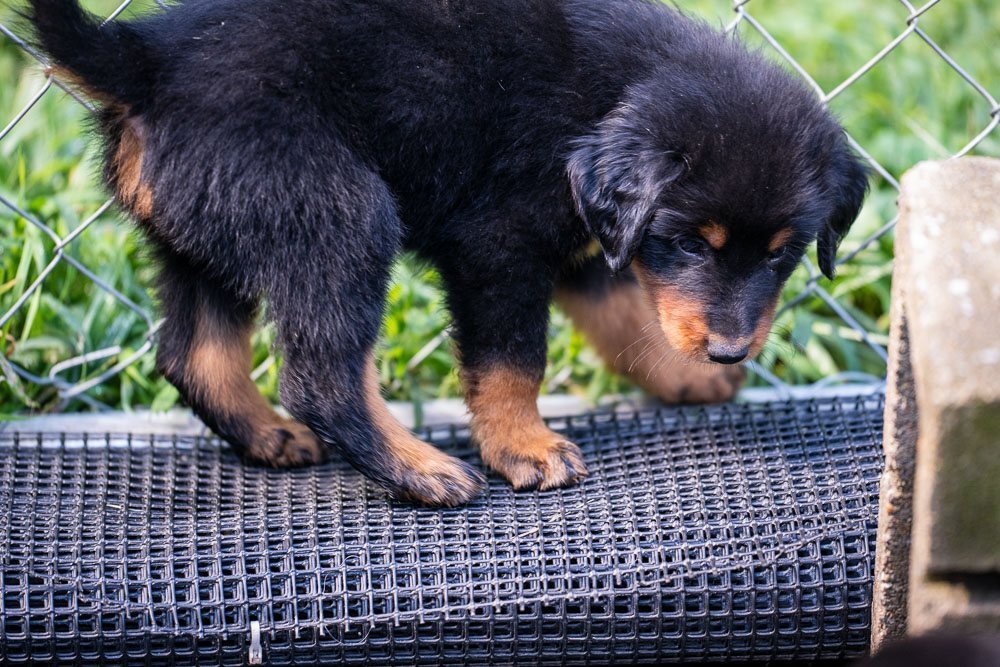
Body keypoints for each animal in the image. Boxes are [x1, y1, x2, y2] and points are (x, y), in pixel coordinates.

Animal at [25, 0, 868, 506]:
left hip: (213, 228)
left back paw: (270, 437)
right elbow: (512, 361)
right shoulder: (499, 243)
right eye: (690, 242)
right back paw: (419, 469)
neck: (610, 95)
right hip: (338, 211)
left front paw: (687, 377)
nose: (729, 350)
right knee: (320, 374)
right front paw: (525, 448)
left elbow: (626, 317)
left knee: (194, 354)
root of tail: (148, 57)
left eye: (782, 255)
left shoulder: (585, 239)